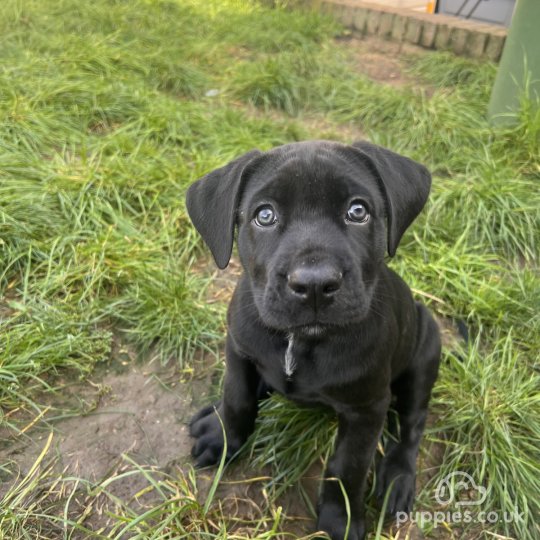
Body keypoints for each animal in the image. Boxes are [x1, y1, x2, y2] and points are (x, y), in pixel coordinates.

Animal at [185, 141, 438, 536]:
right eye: (264, 215)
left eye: (358, 211)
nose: (315, 284)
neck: (300, 341)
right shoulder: (239, 350)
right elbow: (237, 397)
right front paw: (222, 436)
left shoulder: (367, 408)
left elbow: (347, 467)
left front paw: (340, 520)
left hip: (426, 348)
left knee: (412, 422)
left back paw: (398, 479)